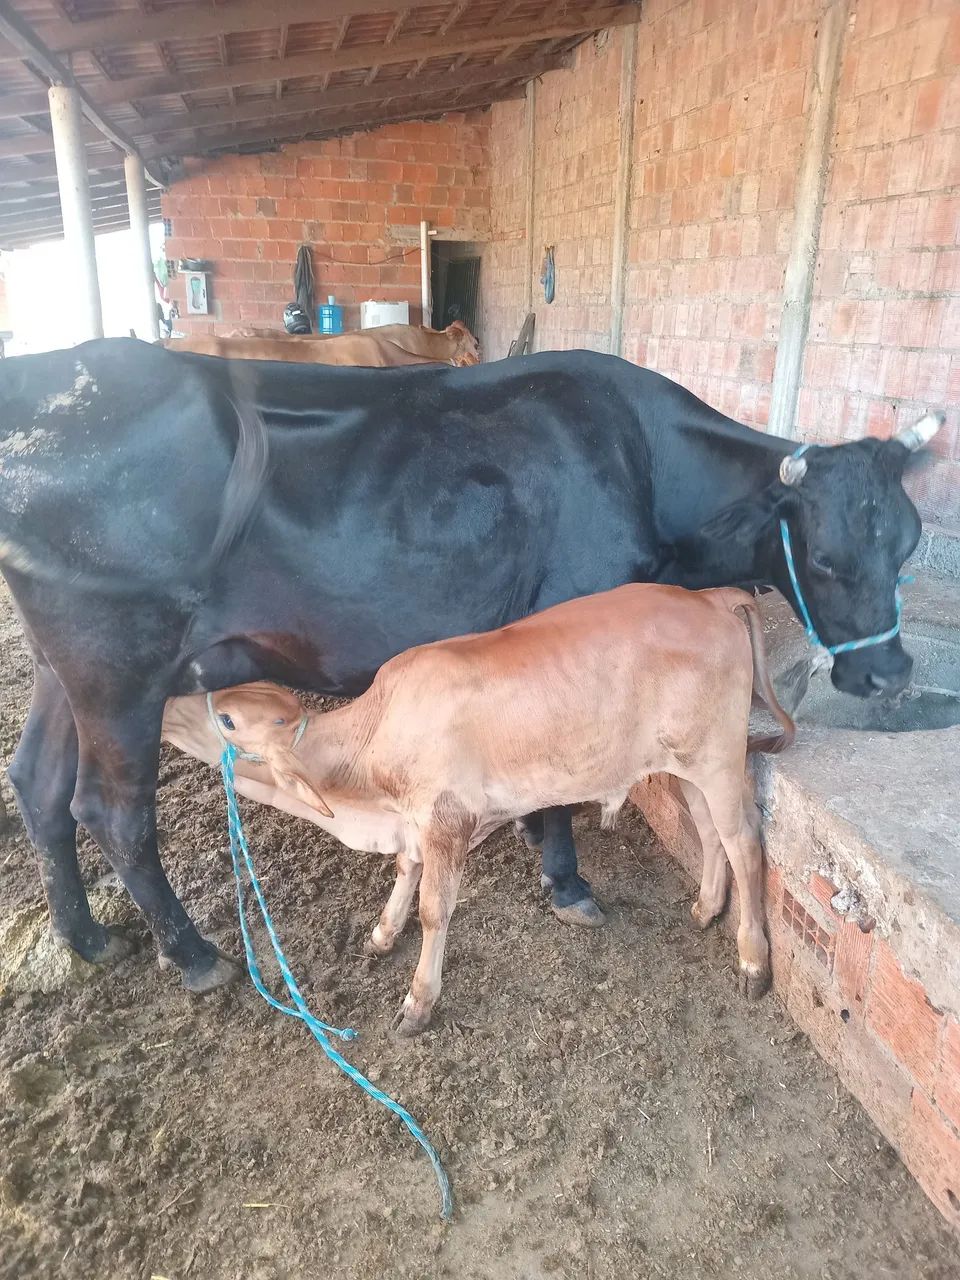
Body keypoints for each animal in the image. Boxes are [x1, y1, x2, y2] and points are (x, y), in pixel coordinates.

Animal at [162, 583, 794, 1030]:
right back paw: (706, 908)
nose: (166, 703)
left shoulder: (447, 818)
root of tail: (709, 595)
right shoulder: (416, 817)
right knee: (711, 834)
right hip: (685, 764)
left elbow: (434, 907)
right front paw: (382, 934)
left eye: (228, 719)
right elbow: (405, 870)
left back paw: (753, 961)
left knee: (745, 842)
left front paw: (418, 1001)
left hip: (717, 758)